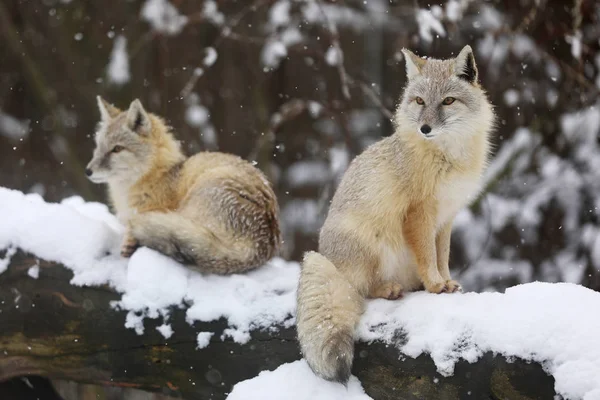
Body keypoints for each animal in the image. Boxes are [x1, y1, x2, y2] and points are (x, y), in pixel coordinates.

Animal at [296, 45, 496, 382]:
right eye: (419, 101)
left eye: (448, 101)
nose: (425, 128)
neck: (448, 158)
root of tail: (327, 259)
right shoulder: (419, 214)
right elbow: (428, 256)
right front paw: (435, 286)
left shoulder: (446, 218)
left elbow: (442, 257)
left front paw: (446, 283)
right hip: (373, 245)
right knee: (362, 291)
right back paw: (389, 289)